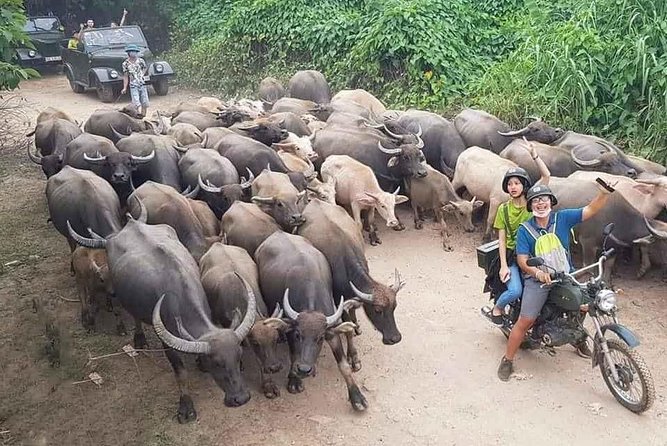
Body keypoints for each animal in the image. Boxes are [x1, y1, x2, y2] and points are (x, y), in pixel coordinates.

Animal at [67, 219, 256, 422]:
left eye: (239, 357)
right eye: (217, 363)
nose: (241, 398)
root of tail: (129, 225)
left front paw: (199, 362)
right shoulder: (167, 343)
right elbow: (180, 373)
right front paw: (186, 408)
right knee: (135, 315)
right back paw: (139, 339)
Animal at [256, 232, 370, 412]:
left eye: (320, 338)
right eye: (298, 335)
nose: (304, 369)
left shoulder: (331, 333)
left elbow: (344, 366)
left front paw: (357, 397)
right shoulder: (291, 332)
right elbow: (294, 355)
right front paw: (294, 380)